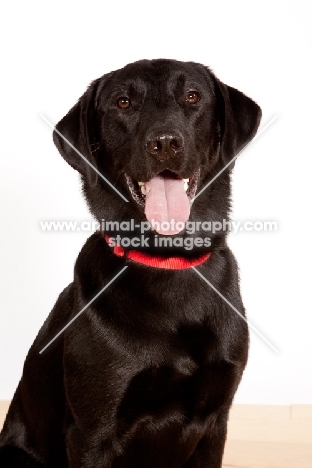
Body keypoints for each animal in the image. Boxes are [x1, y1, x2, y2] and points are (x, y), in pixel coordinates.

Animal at [0, 60, 260, 466]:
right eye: (123, 102)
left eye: (192, 96)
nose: (165, 143)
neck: (168, 261)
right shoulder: (91, 434)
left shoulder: (216, 422)